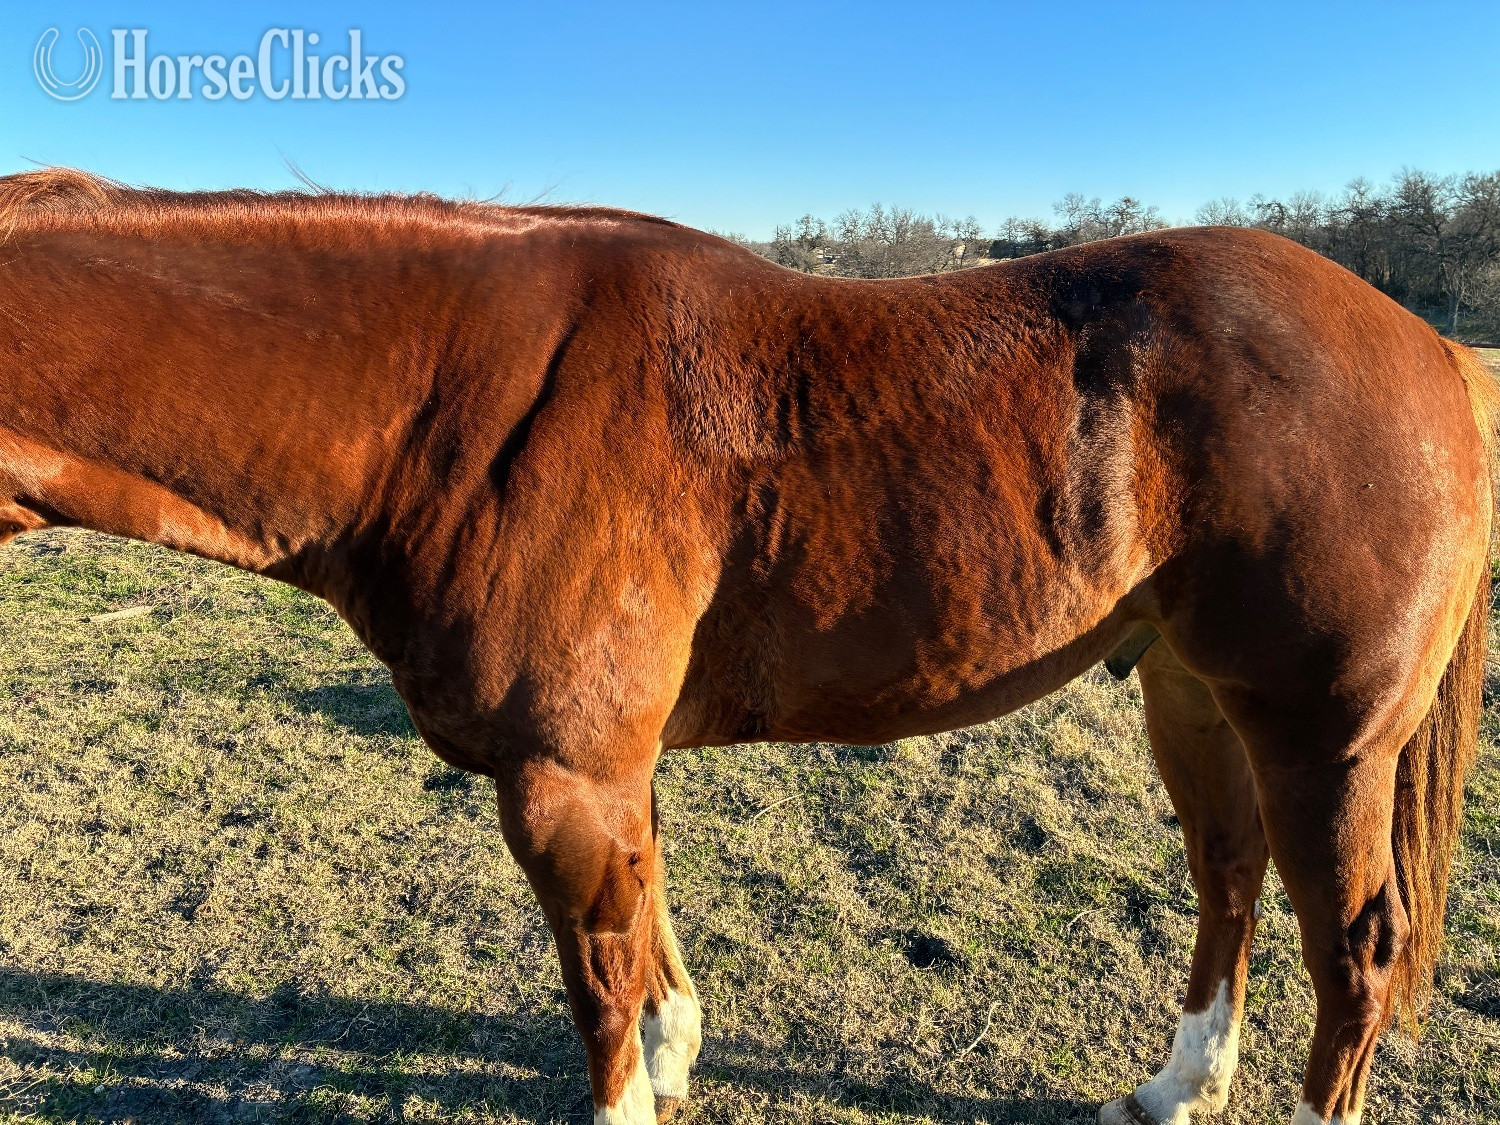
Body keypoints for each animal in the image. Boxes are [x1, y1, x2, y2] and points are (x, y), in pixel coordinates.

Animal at [0, 167, 1491, 1125]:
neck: (456, 400)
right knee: (1228, 878)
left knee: (1354, 950)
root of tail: (1424, 348)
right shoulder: (605, 769)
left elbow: (600, 989)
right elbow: (646, 935)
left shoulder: (562, 778)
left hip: (1323, 736)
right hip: (1193, 695)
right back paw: (1180, 1085)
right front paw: (678, 1053)